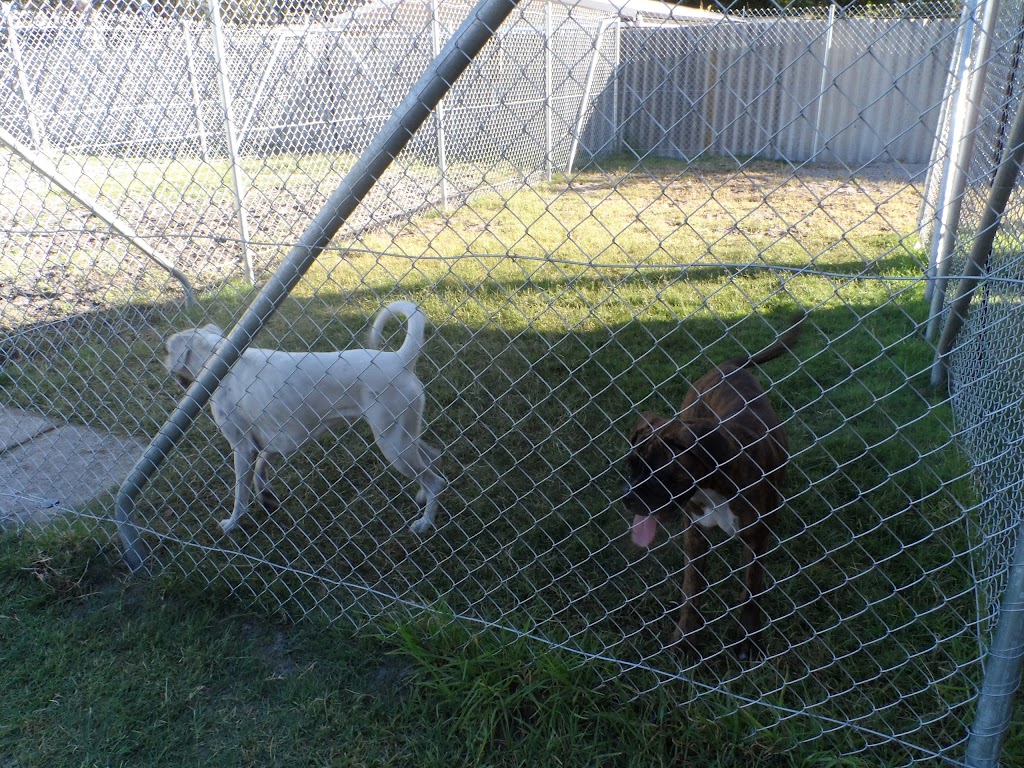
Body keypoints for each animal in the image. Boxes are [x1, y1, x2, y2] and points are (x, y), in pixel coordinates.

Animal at [162, 299, 444, 536]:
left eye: (167, 351)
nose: (163, 363)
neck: (220, 362)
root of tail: (400, 360)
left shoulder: (242, 447)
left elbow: (240, 493)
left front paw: (232, 523)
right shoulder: (273, 441)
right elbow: (261, 470)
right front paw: (267, 497)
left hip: (394, 445)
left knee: (436, 480)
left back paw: (425, 523)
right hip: (403, 436)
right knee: (433, 458)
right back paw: (422, 497)